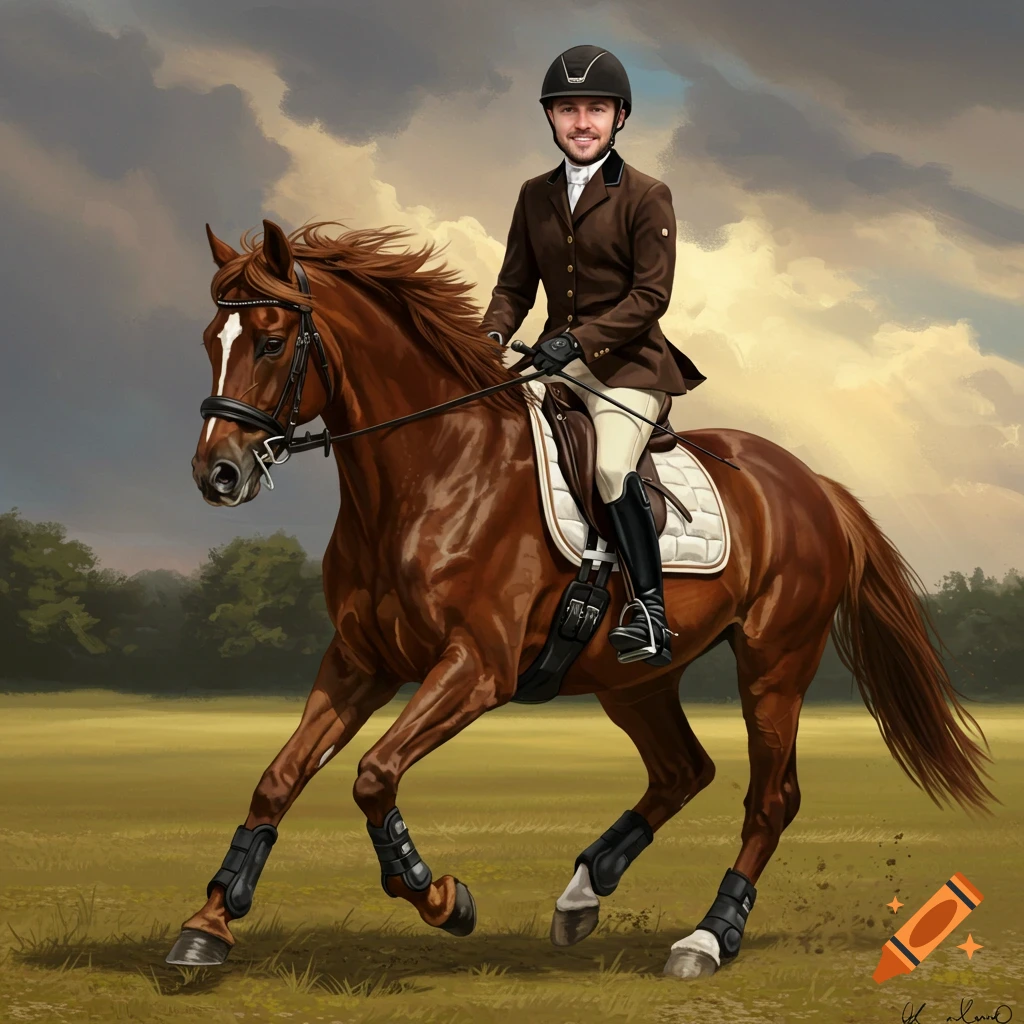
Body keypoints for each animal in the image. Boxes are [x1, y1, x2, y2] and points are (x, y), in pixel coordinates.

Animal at [171, 217, 996, 979]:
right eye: (212, 338)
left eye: (271, 342)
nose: (217, 474)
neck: (432, 473)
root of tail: (811, 483)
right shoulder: (358, 661)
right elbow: (278, 778)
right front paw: (208, 923)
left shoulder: (476, 667)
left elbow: (374, 775)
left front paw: (441, 896)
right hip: (633, 680)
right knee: (683, 770)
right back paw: (582, 894)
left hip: (774, 665)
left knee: (771, 798)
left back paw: (706, 938)